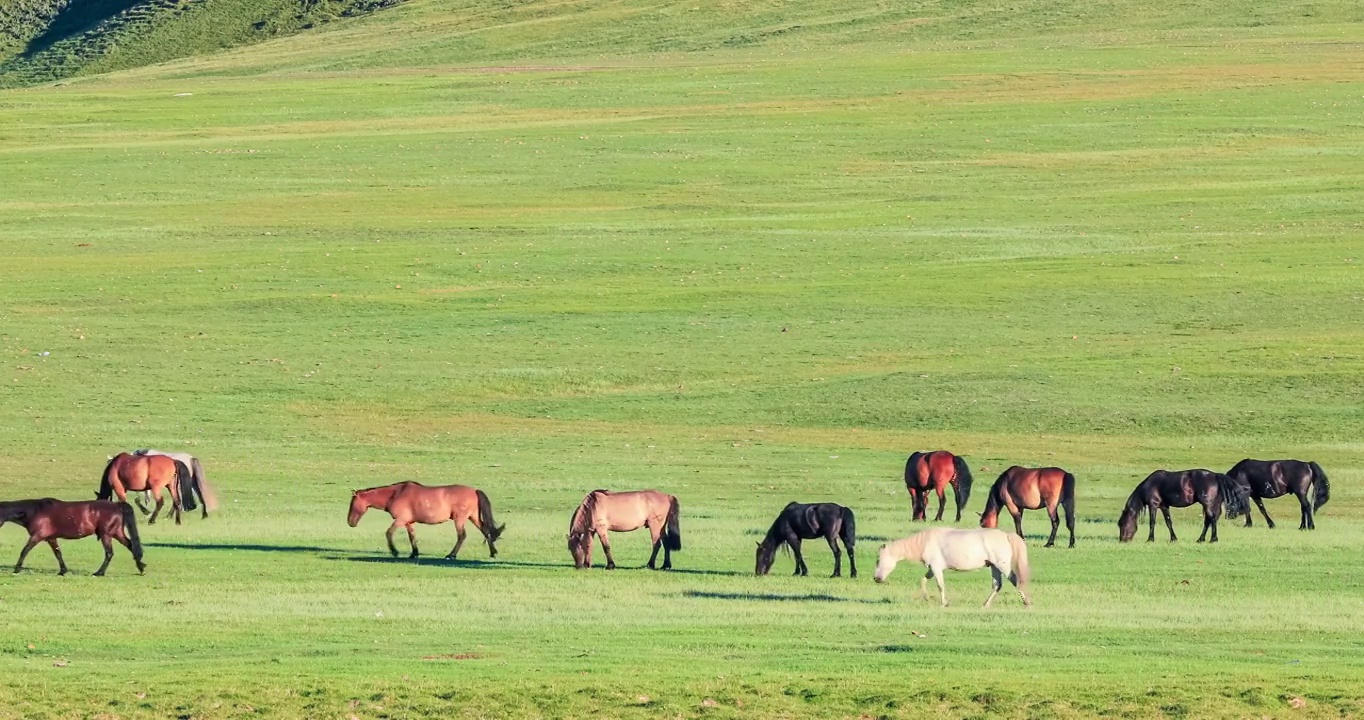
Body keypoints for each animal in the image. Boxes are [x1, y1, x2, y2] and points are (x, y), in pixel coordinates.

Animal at [0, 499, 145, 575]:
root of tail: (117, 505)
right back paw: (141, 567)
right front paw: (63, 571)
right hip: (116, 533)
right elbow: (58, 554)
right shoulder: (51, 538)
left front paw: (17, 569)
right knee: (130, 545)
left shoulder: (37, 536)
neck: (34, 511)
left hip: (106, 535)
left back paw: (99, 573)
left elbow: (25, 550)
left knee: (109, 553)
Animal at [349, 482, 504, 561]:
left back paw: (451, 555)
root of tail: (474, 490)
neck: (395, 494)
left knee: (462, 536)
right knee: (486, 531)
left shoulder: (400, 520)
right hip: (474, 517)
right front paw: (414, 553)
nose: (350, 522)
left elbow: (389, 533)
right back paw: (493, 553)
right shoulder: (408, 522)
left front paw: (395, 551)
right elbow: (412, 537)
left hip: (460, 519)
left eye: (352, 503)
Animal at [878, 523, 1025, 608]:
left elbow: (940, 585)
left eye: (878, 560)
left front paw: (944, 603)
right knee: (997, 585)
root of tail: (1006, 535)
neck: (924, 542)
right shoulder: (932, 568)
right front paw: (926, 597)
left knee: (1015, 580)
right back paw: (985, 604)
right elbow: (923, 580)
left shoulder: (936, 568)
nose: (876, 578)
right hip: (994, 566)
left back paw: (1026, 602)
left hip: (1003, 566)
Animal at [1118, 469, 1249, 542]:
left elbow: (1152, 523)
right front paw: (1173, 539)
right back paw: (1201, 539)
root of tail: (1215, 476)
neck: (1150, 485)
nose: (1122, 540)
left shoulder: (1153, 505)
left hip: (1207, 504)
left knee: (1211, 519)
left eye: (1122, 524)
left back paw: (1213, 539)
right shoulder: (1164, 506)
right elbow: (1168, 522)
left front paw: (1150, 539)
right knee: (1209, 520)